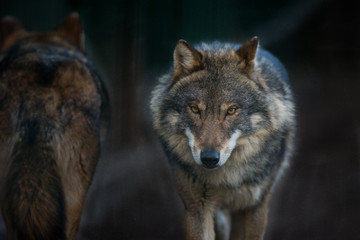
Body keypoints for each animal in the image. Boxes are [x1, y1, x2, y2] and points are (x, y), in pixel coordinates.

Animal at [151, 36, 296, 239]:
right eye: (194, 109)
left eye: (231, 110)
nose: (209, 158)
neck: (226, 178)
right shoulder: (196, 208)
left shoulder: (255, 206)